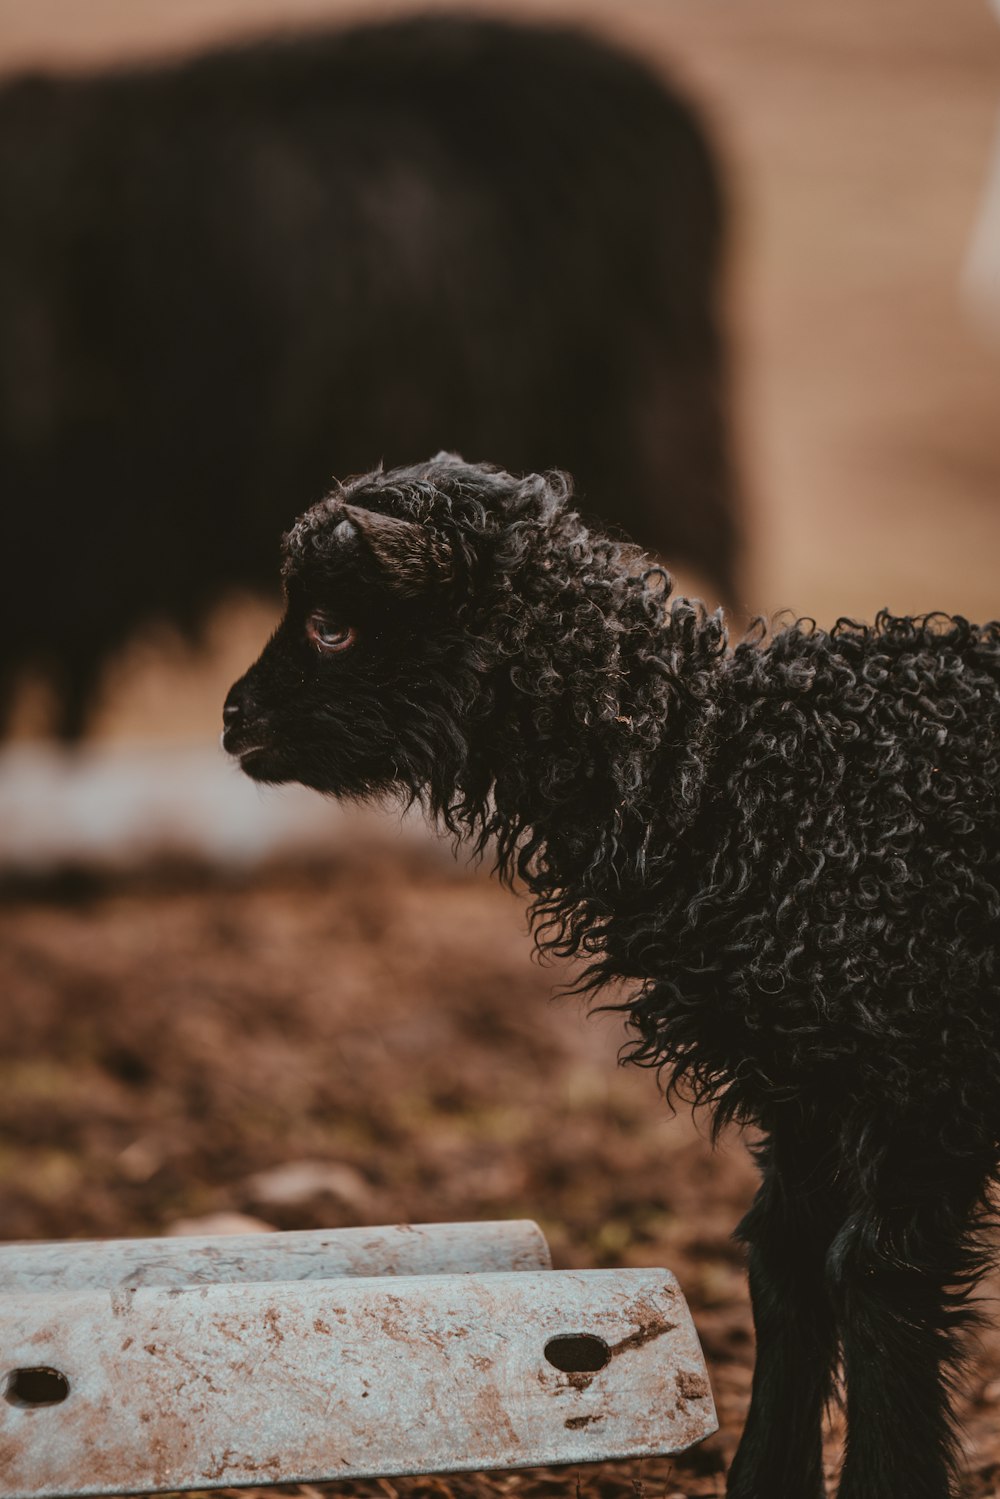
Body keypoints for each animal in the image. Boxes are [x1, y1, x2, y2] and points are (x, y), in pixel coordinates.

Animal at [224, 455, 1000, 1499]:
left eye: (332, 624)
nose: (232, 717)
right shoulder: (802, 1076)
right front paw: (765, 1477)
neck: (729, 776)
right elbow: (785, 1260)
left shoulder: (923, 1071)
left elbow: (875, 1276)